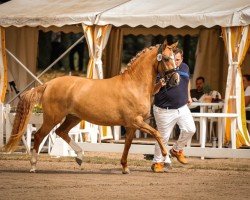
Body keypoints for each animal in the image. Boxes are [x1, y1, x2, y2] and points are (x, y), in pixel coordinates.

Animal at [3, 41, 180, 173]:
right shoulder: (137, 122)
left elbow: (128, 146)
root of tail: (48, 84)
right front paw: (166, 156)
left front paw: (125, 167)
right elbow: (157, 133)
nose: (176, 79)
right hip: (53, 118)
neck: (134, 84)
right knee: (40, 135)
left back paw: (80, 157)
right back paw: (33, 166)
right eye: (166, 58)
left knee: (61, 132)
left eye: (174, 58)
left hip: (73, 118)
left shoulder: (131, 126)